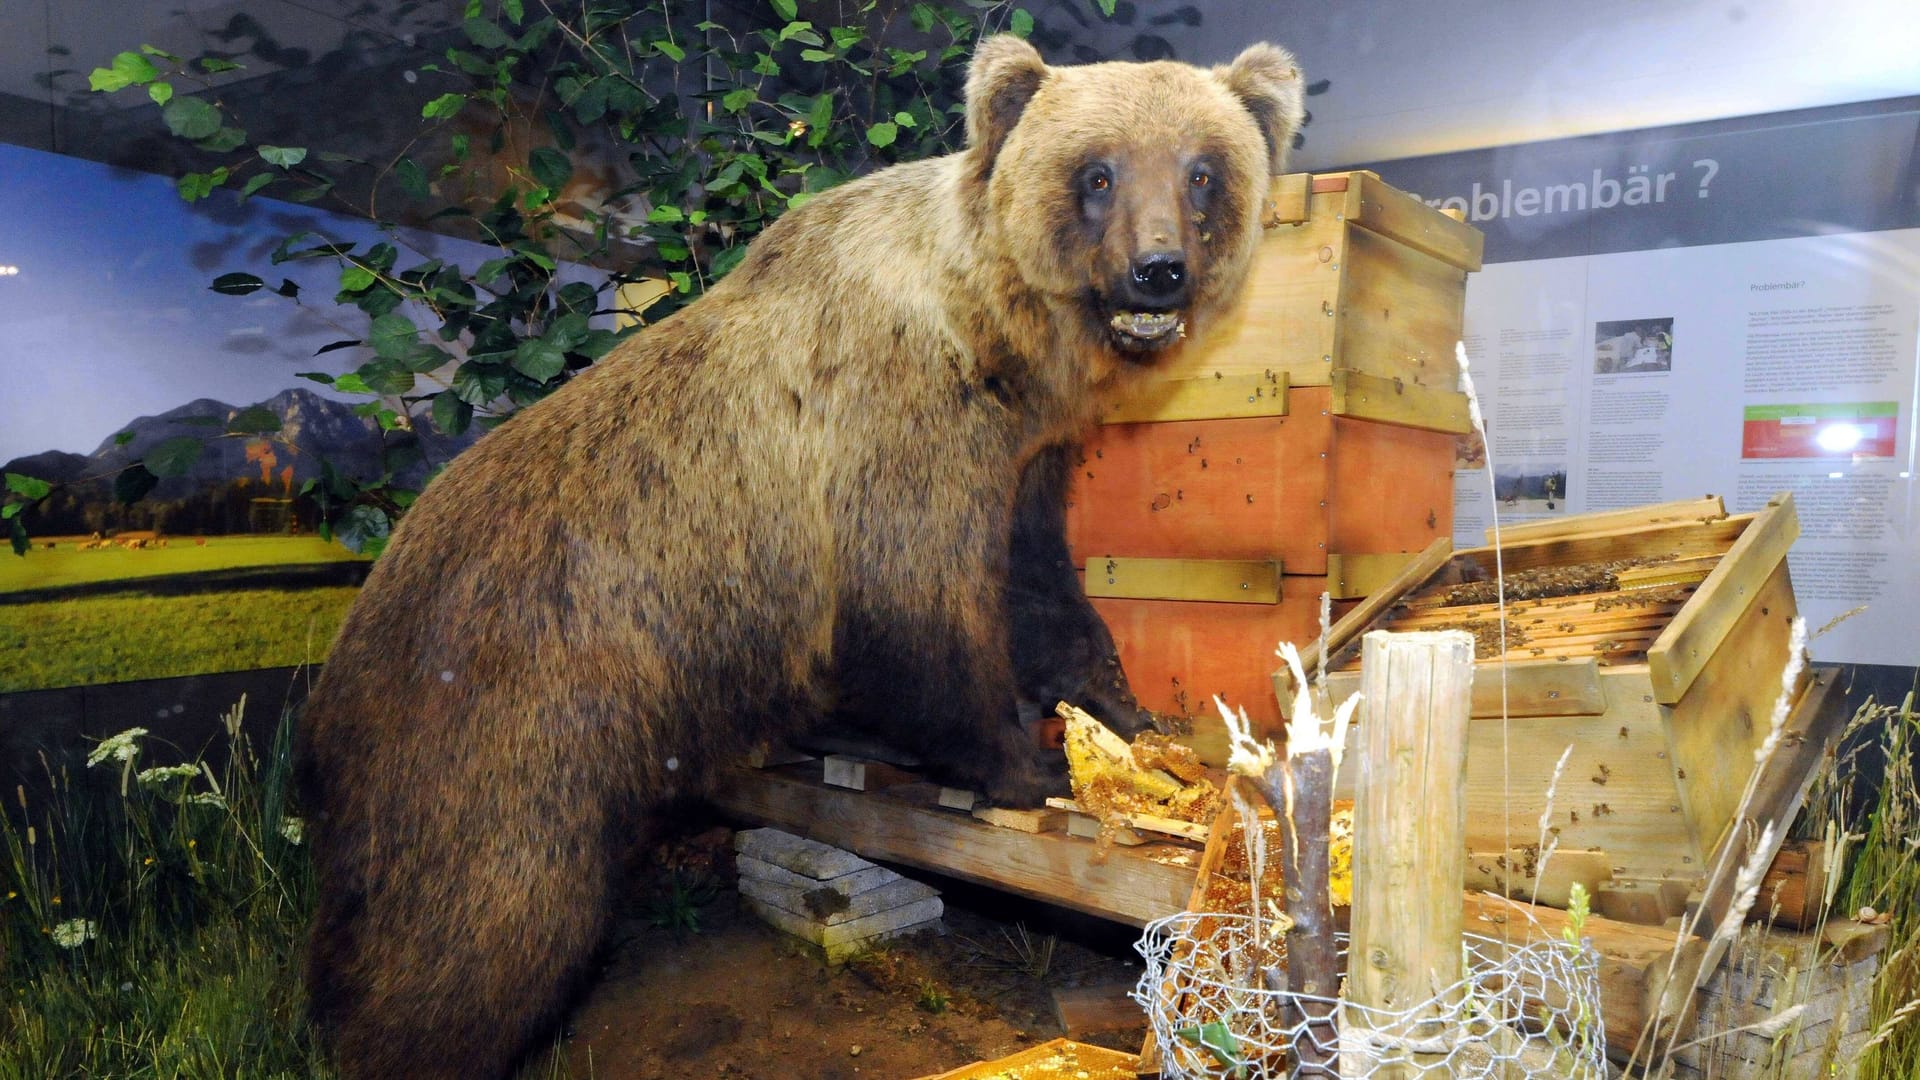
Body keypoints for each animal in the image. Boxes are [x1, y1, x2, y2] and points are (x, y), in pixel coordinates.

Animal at [295, 33, 1305, 1076]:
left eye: (1202, 170)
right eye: (1097, 172)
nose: (1158, 270)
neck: (992, 340)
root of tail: (339, 663)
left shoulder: (1024, 460)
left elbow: (1040, 586)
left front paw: (1124, 713)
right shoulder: (893, 435)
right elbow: (922, 611)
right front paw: (1022, 766)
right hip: (508, 724)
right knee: (481, 924)